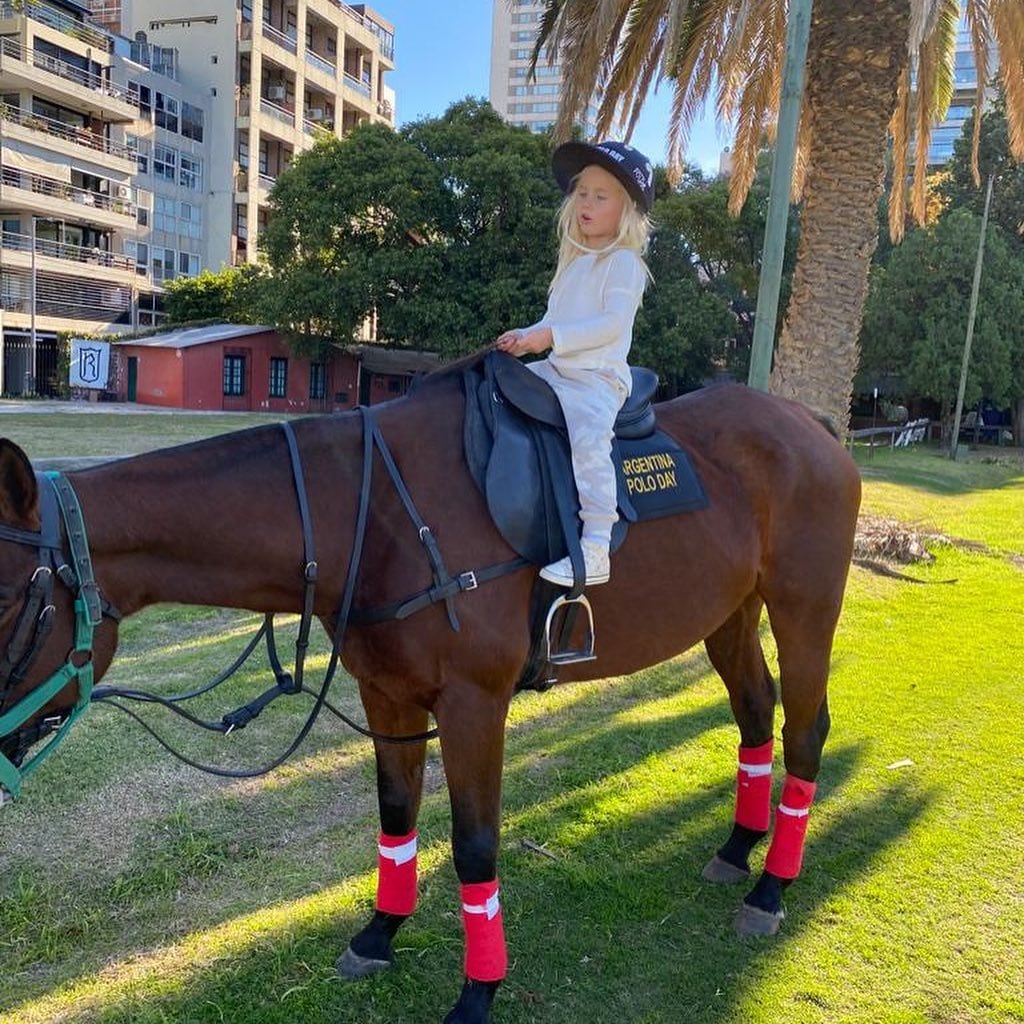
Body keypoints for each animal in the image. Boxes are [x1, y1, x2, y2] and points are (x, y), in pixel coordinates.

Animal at [0, 370, 864, 1024]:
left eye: (10, 598)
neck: (371, 514)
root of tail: (809, 422)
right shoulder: (387, 694)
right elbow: (395, 819)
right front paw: (379, 933)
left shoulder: (475, 704)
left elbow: (475, 845)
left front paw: (479, 989)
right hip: (729, 613)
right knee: (754, 714)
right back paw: (737, 846)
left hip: (805, 607)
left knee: (806, 730)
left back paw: (771, 885)